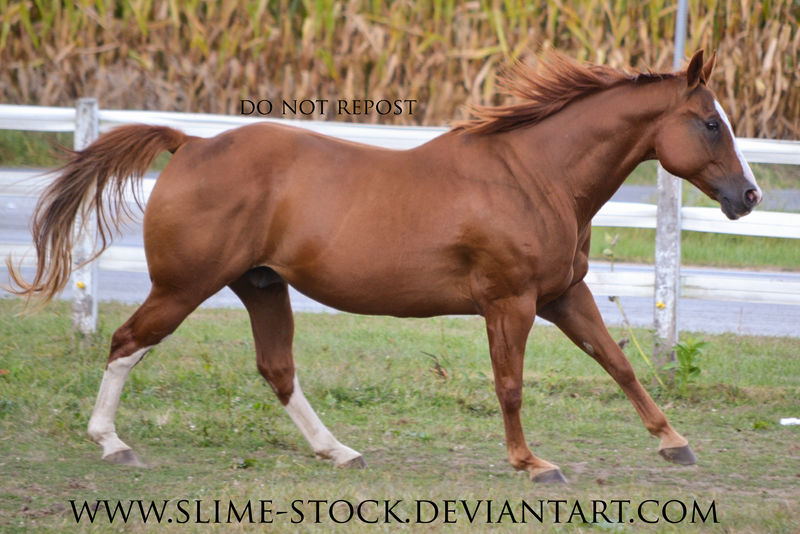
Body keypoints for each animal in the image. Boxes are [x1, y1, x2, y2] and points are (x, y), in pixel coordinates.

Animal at [6, 50, 761, 483]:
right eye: (710, 123)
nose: (748, 197)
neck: (535, 175)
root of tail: (189, 143)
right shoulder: (510, 301)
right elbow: (511, 384)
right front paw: (531, 464)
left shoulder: (562, 296)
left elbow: (619, 364)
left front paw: (674, 444)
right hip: (184, 285)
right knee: (126, 342)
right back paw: (112, 445)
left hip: (260, 287)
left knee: (277, 371)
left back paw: (339, 452)